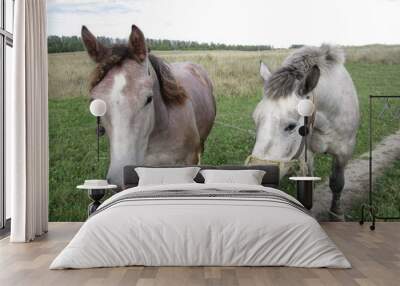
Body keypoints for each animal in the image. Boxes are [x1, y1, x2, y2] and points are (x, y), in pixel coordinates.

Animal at [250, 44, 360, 214]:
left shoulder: (344, 152)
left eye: (291, 126)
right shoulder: (305, 155)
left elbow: (337, 183)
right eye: (255, 119)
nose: (260, 175)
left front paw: (336, 212)